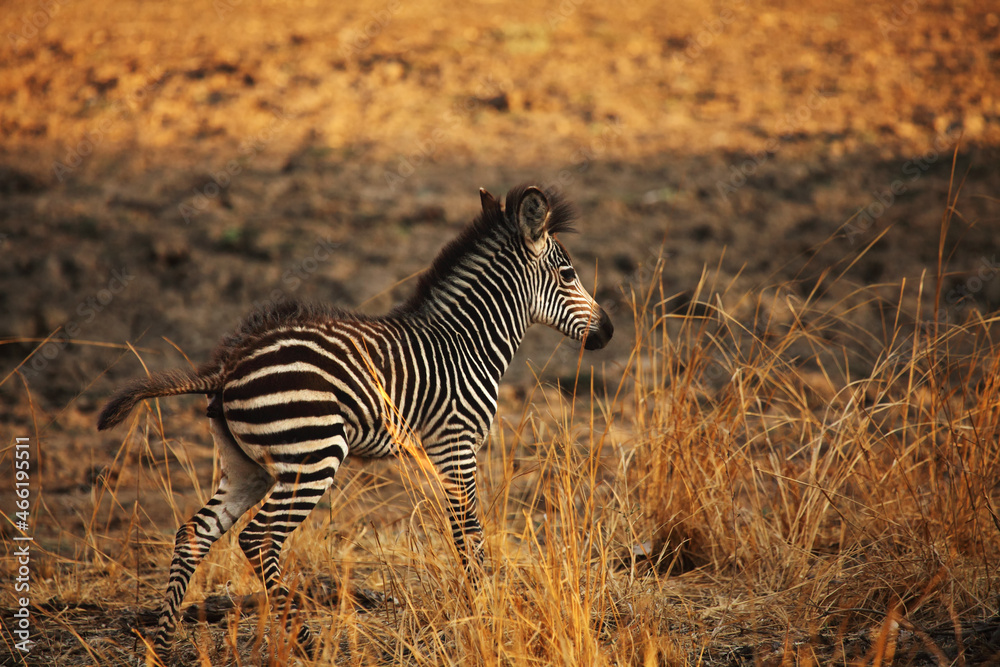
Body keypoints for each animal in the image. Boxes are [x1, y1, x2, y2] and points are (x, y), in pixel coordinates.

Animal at [97, 183, 614, 658]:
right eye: (568, 273)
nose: (608, 332)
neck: (464, 342)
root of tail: (228, 366)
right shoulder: (456, 442)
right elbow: (469, 532)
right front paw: (485, 613)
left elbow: (465, 531)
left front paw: (481, 610)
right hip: (312, 454)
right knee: (260, 539)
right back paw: (308, 643)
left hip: (247, 467)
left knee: (194, 534)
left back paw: (162, 647)